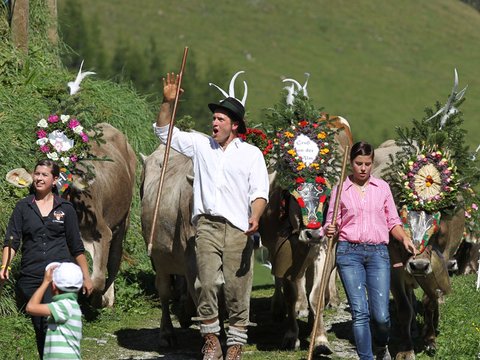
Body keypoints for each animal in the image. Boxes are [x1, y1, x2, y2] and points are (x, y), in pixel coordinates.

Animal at [7, 123, 137, 306]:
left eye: (66, 188)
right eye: (34, 183)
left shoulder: (103, 233)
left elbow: (98, 279)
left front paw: (96, 301)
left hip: (123, 219)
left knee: (114, 260)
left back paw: (108, 299)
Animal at [372, 139, 464, 358]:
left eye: (437, 228)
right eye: (402, 226)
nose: (419, 265)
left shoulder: (439, 259)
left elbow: (430, 300)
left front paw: (430, 340)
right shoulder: (394, 268)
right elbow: (405, 308)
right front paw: (406, 350)